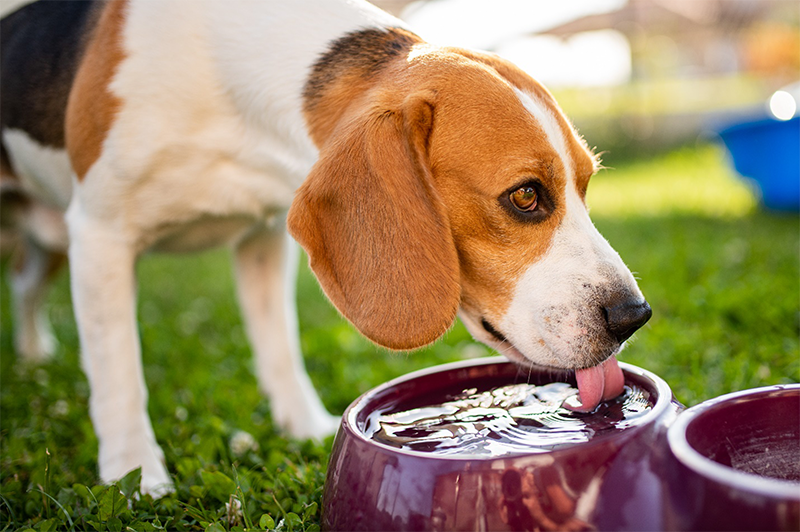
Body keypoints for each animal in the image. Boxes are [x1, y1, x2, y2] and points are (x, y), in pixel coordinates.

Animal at [1, 0, 648, 494]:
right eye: (526, 196)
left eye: (586, 185)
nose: (633, 316)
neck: (227, 86)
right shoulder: (101, 232)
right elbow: (118, 374)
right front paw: (135, 477)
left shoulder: (263, 236)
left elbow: (279, 346)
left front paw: (305, 427)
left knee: (26, 286)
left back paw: (33, 353)